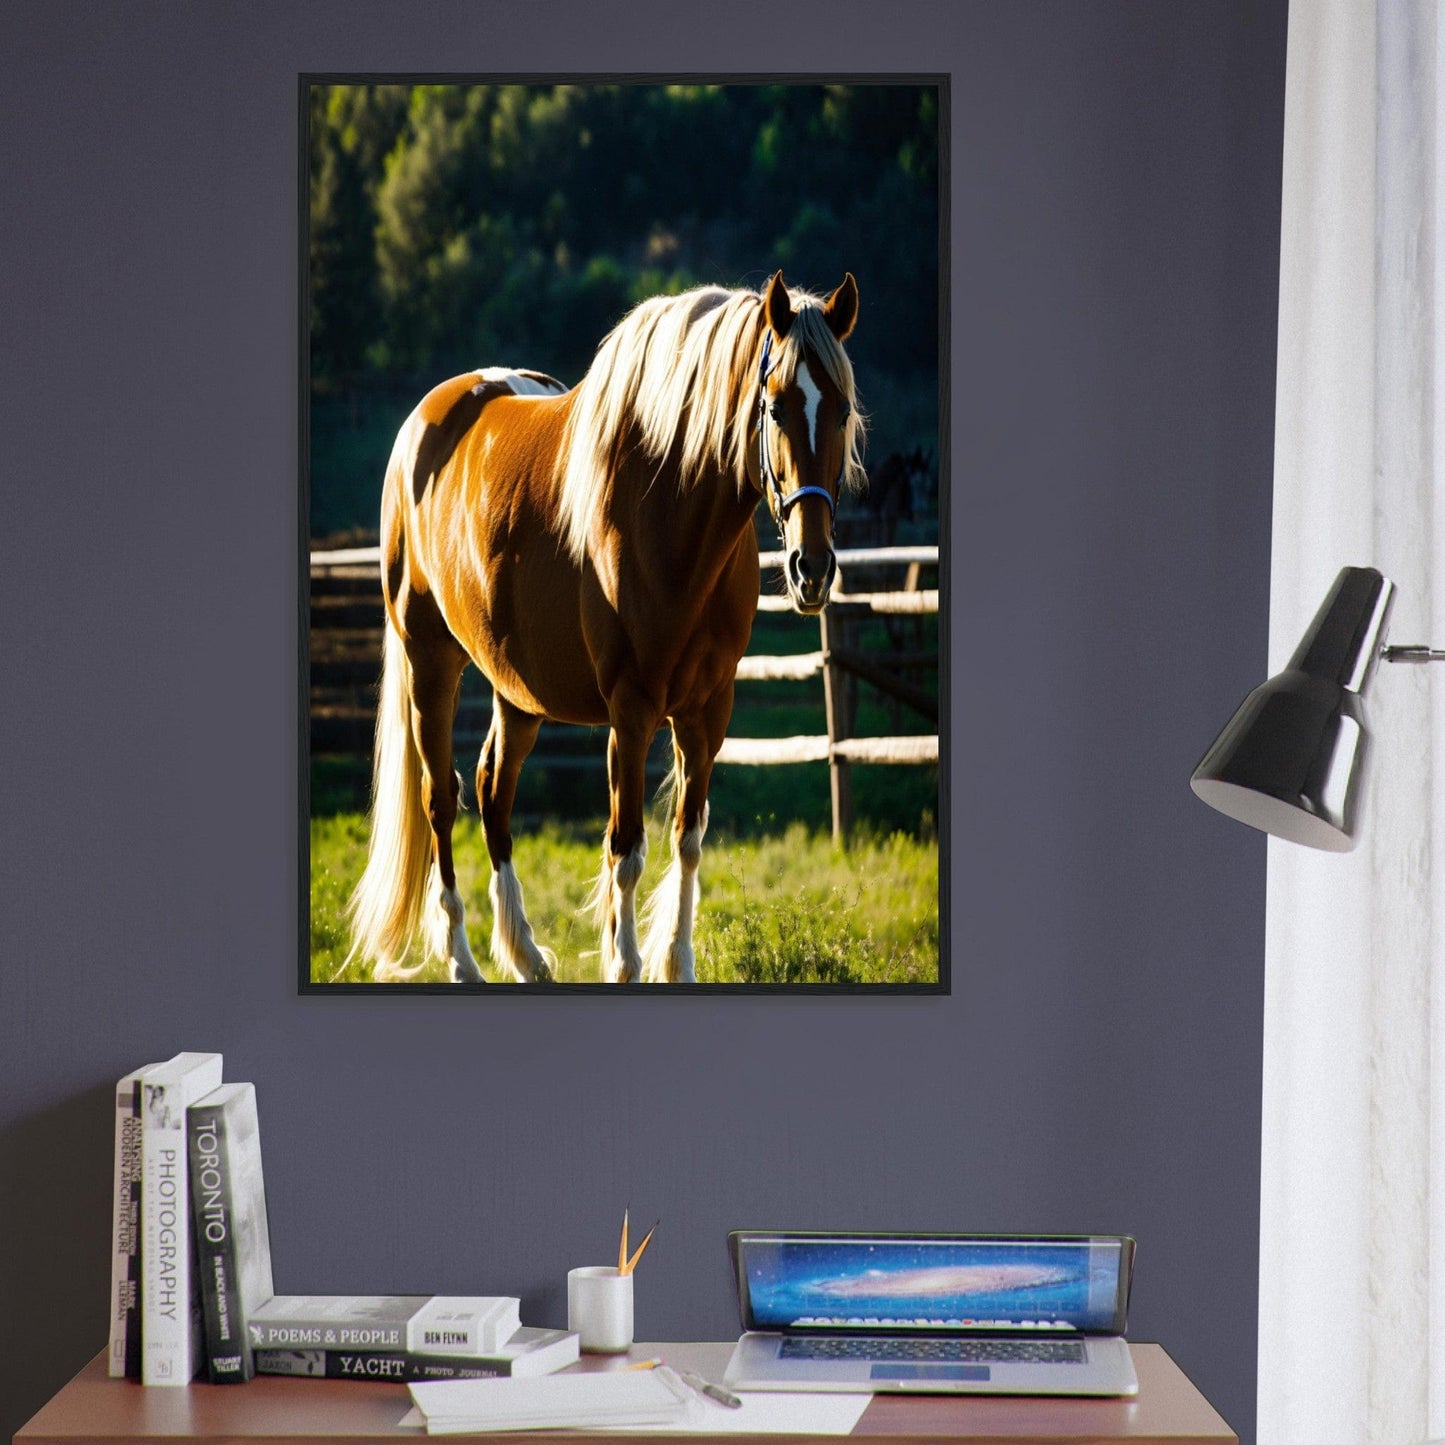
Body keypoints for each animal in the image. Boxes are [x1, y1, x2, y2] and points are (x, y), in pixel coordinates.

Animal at [344, 271, 864, 984]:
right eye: (778, 407)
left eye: (841, 411)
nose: (812, 568)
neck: (669, 510)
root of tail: (420, 429)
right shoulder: (632, 709)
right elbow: (627, 847)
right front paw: (625, 964)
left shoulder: (708, 709)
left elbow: (688, 838)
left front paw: (677, 964)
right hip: (430, 662)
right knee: (441, 799)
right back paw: (464, 962)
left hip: (517, 689)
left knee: (493, 789)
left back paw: (526, 955)